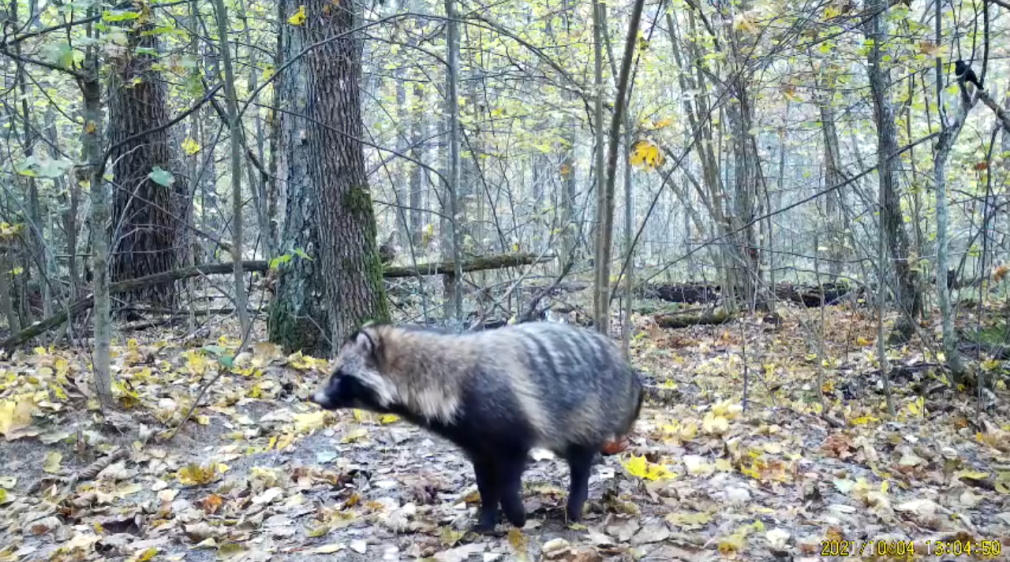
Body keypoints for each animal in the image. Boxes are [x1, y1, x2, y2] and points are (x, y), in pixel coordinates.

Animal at [307, 321, 642, 529]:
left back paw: (574, 506)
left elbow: (508, 478)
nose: (314, 397)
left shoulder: (509, 427)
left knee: (580, 464)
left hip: (587, 412)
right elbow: (484, 482)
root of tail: (627, 369)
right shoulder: (474, 440)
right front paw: (487, 518)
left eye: (340, 376)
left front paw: (515, 514)